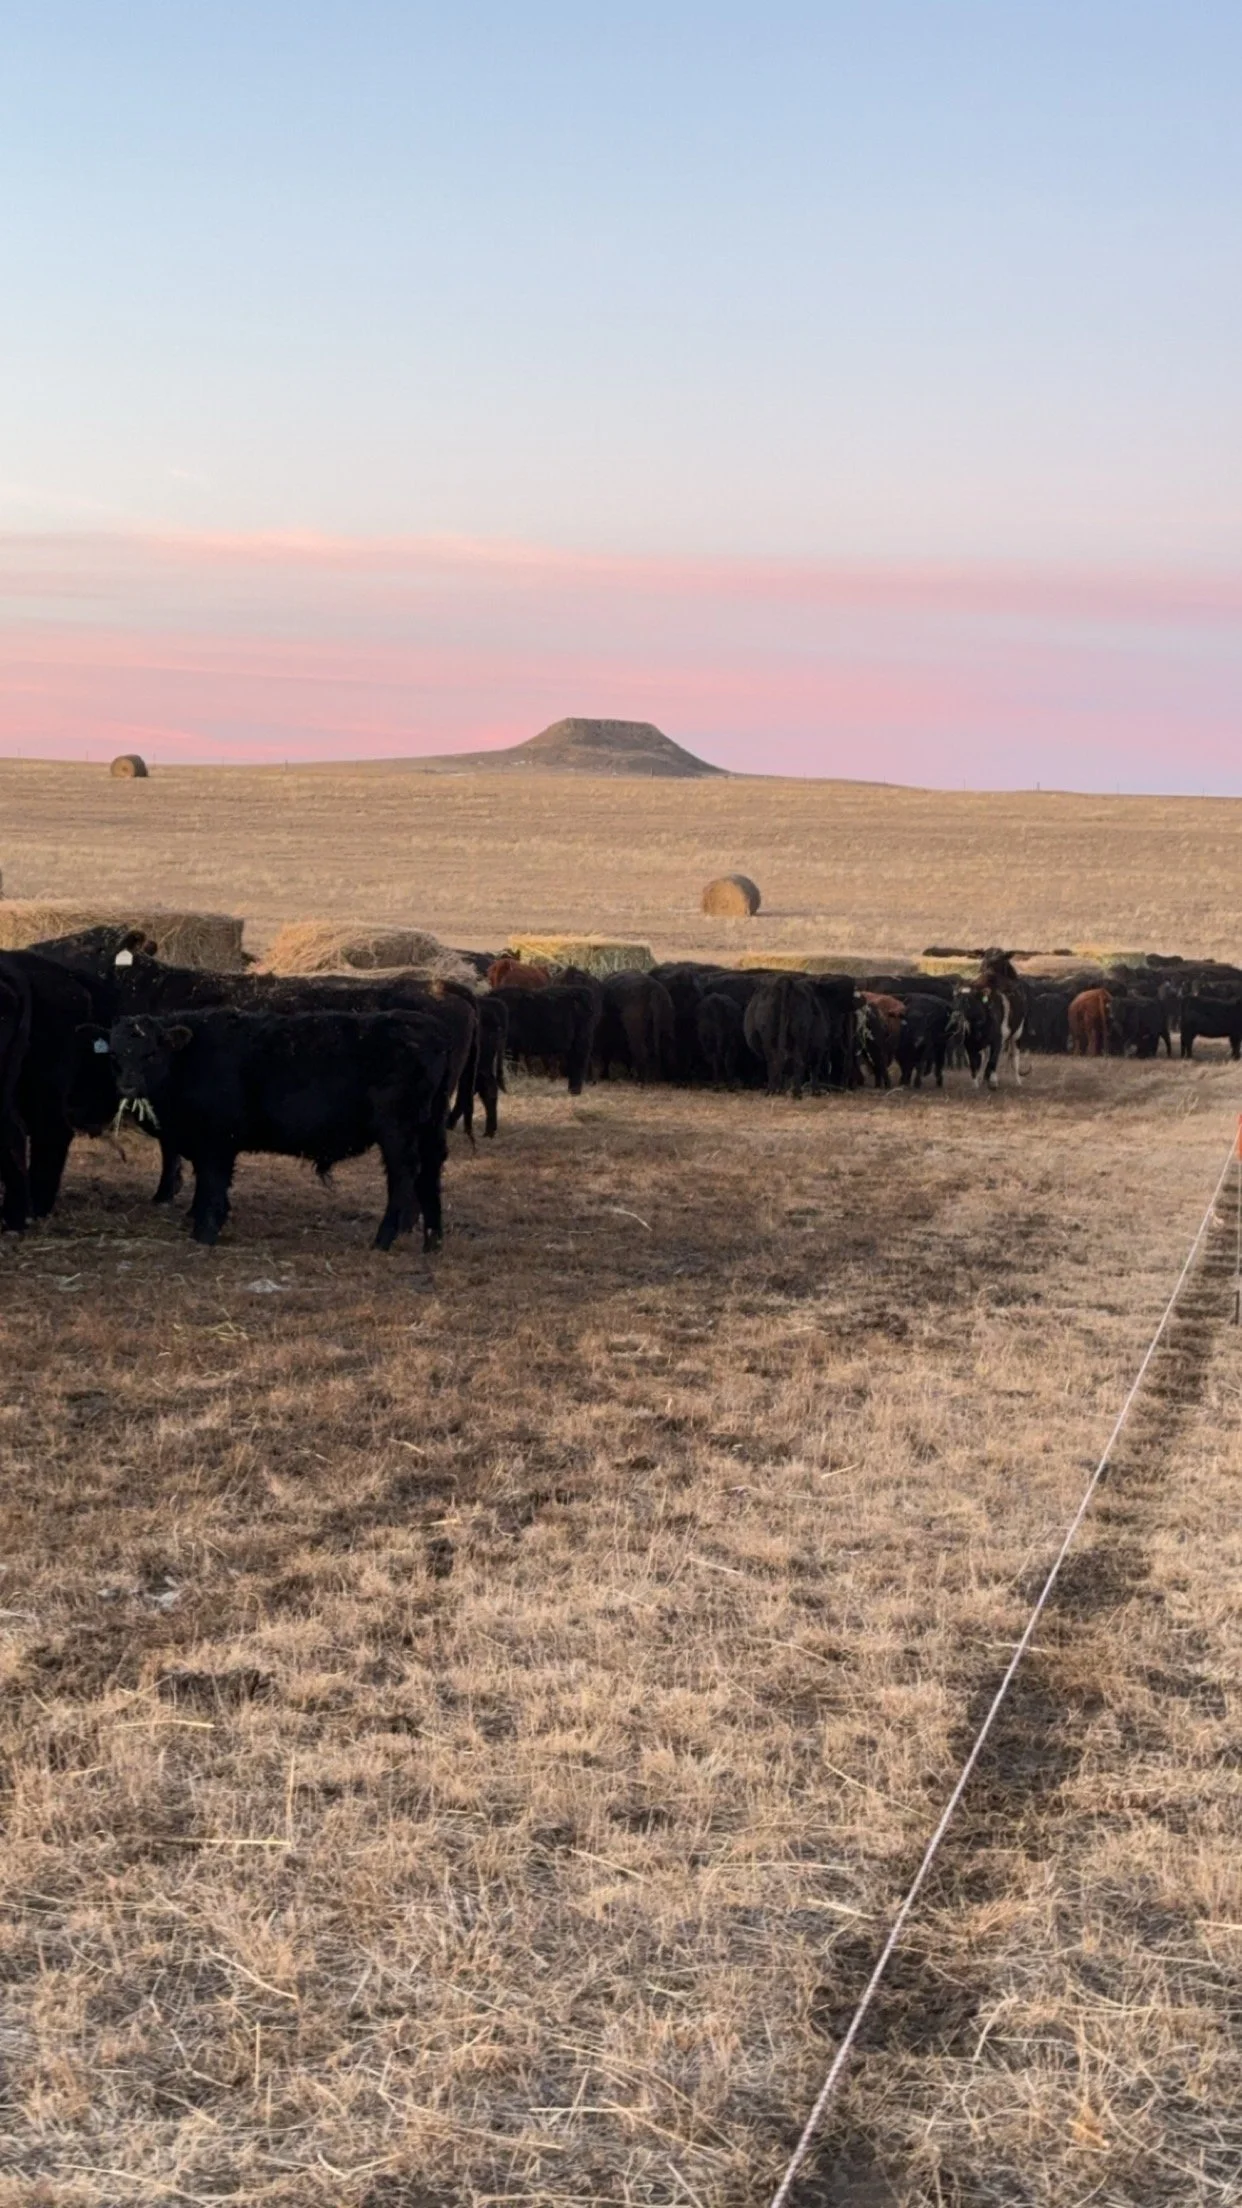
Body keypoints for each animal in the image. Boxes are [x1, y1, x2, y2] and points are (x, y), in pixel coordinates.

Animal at [105, 1010, 453, 1250]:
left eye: (151, 1053)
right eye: (115, 1054)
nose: (127, 1085)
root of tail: (429, 1028)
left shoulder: (217, 1143)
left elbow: (213, 1185)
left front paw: (205, 1232)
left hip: (397, 1133)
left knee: (403, 1177)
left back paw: (384, 1238)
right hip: (430, 1129)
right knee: (429, 1175)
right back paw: (432, 1240)